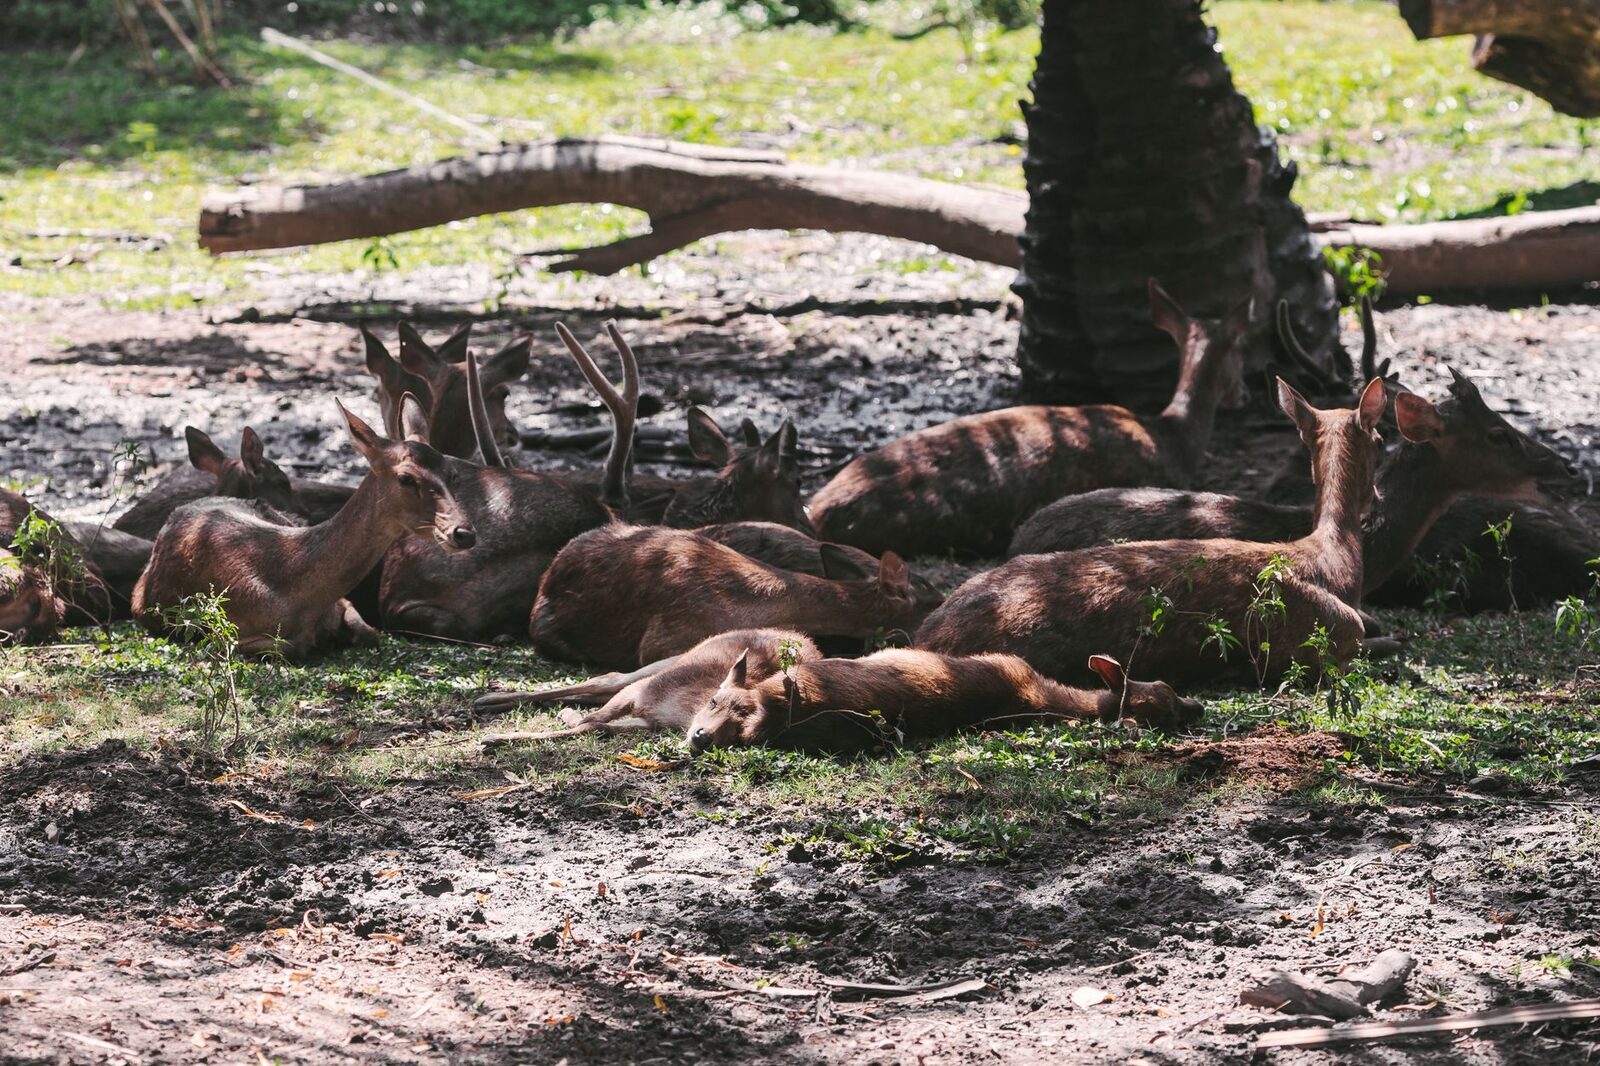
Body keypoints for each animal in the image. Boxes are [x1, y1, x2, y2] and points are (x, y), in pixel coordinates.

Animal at [132, 397, 476, 660]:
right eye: (406, 478)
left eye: (452, 472)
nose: (463, 532)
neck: (301, 596)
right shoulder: (227, 631)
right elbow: (290, 647)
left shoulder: (344, 602)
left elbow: (370, 633)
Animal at [473, 628, 821, 745]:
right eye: (714, 701)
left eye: (741, 727)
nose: (702, 737)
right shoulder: (642, 691)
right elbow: (594, 719)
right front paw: (494, 738)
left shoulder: (650, 721)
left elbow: (596, 726)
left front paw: (497, 738)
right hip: (661, 663)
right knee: (606, 679)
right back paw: (487, 698)